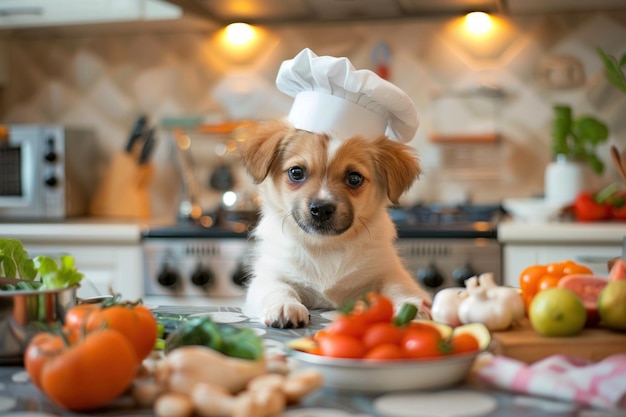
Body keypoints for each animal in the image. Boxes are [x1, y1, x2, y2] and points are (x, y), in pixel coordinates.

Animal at [238, 118, 428, 326]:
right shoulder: (269, 275)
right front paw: (284, 306)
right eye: (296, 172)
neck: (325, 246)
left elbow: (399, 287)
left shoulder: (389, 271)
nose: (321, 209)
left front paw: (411, 306)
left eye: (354, 178)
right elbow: (278, 288)